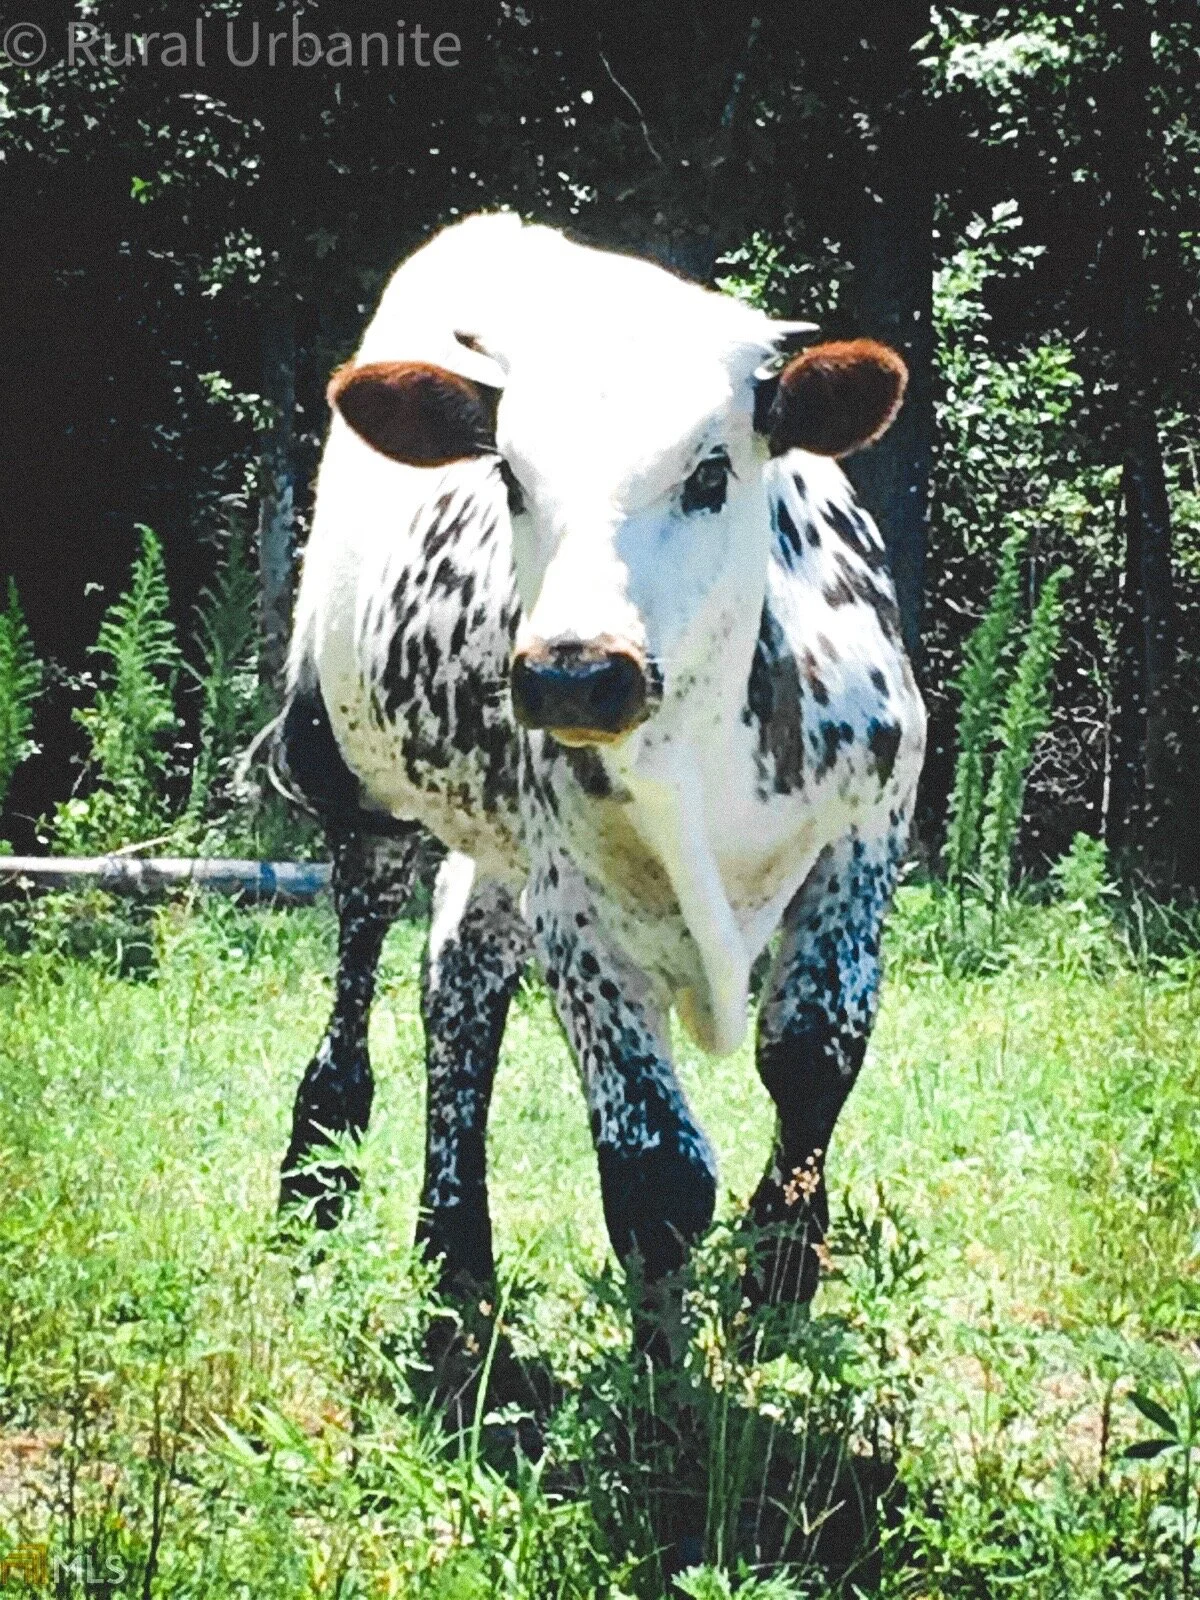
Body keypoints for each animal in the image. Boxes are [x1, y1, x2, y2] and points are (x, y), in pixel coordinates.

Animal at [277, 213, 925, 1320]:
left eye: (710, 474)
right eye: (510, 479)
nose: (574, 674)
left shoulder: (867, 831)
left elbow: (811, 1057)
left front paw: (781, 1267)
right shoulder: (575, 903)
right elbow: (657, 1172)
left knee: (461, 977)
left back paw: (455, 1251)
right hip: (355, 781)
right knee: (364, 965)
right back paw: (320, 1175)